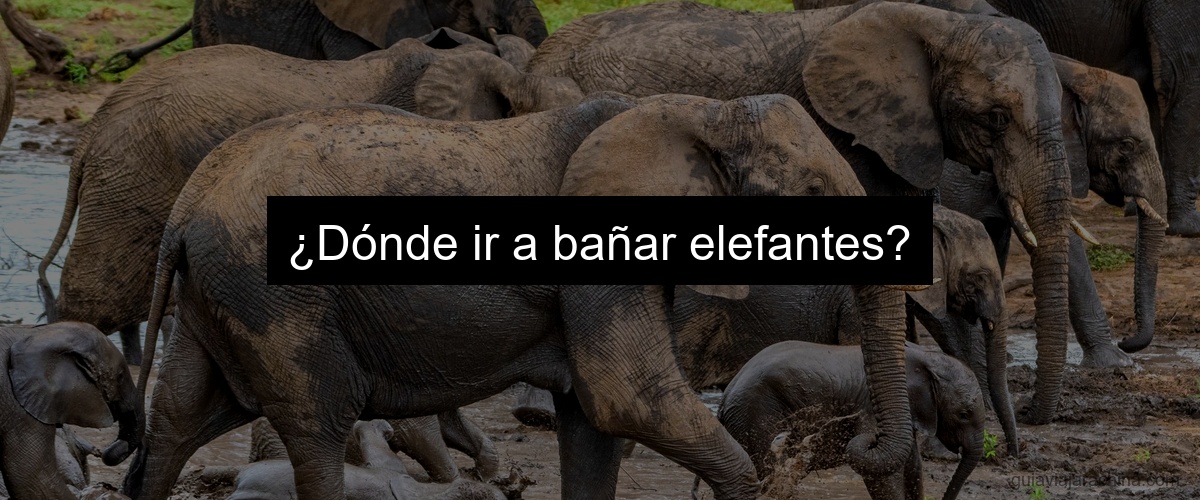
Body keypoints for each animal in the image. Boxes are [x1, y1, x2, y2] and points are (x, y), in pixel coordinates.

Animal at [716, 341, 984, 500]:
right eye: (964, 414)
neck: (925, 357)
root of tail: (724, 397)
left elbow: (912, 465)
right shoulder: (871, 406)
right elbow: (881, 469)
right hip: (754, 415)